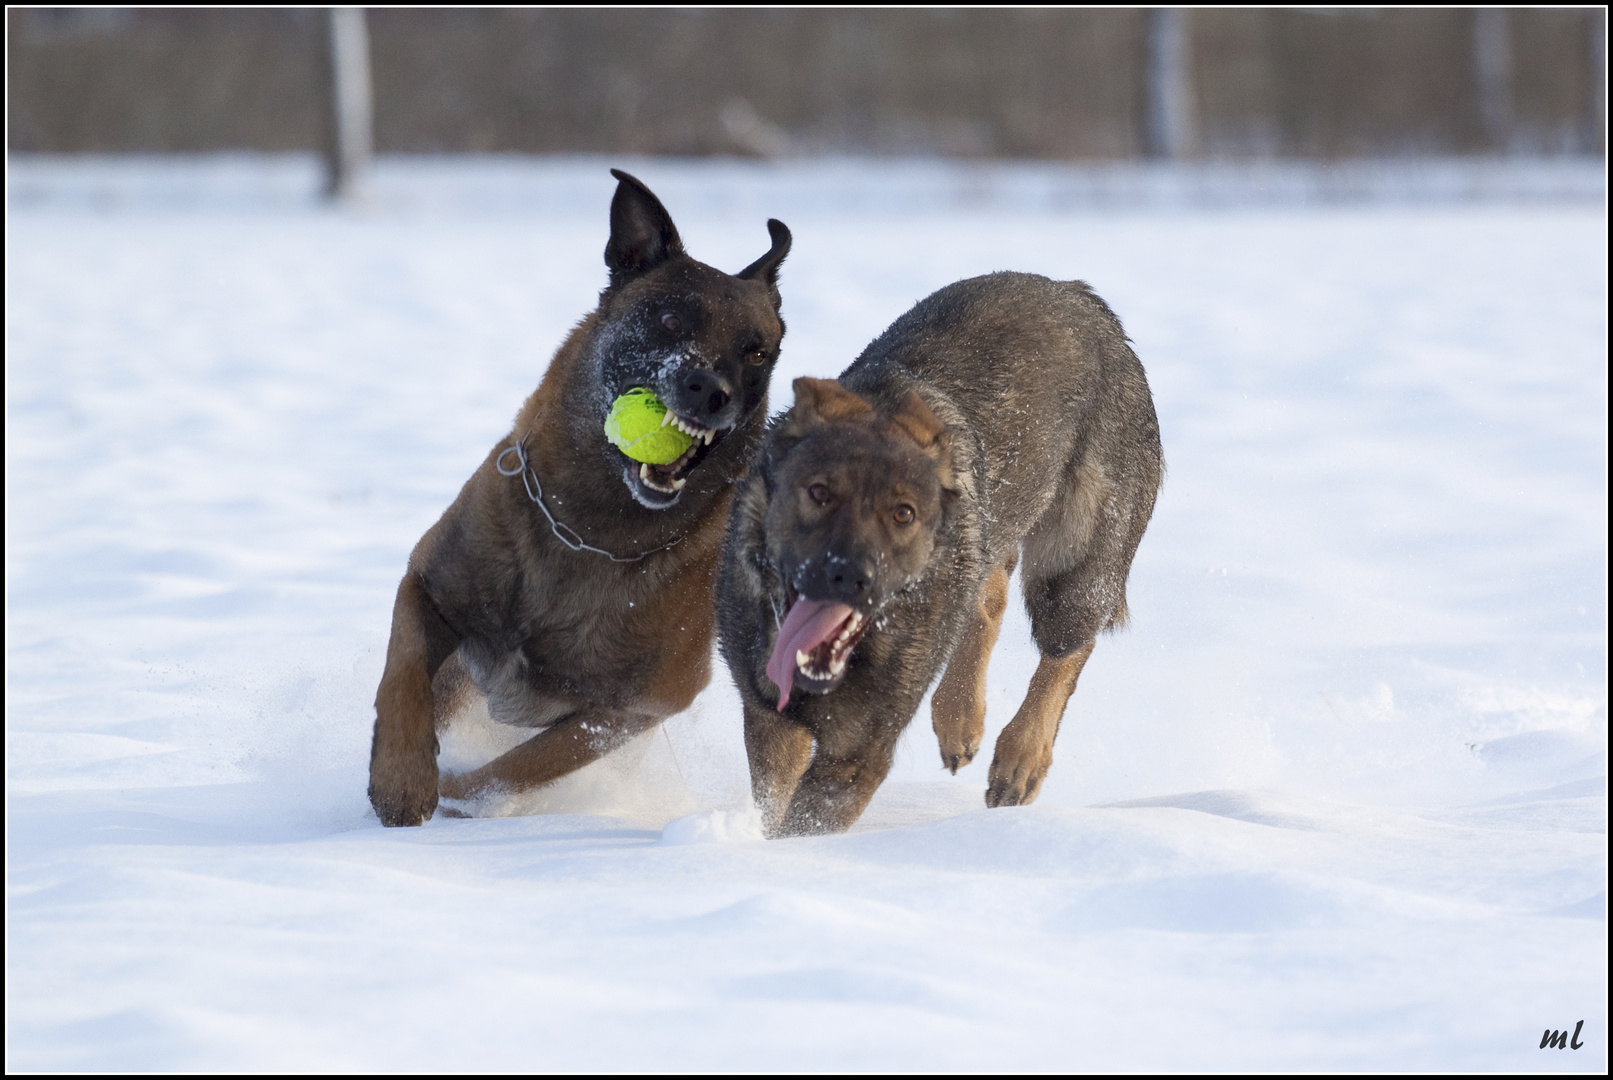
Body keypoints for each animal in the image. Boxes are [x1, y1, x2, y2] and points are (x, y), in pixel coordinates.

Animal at [367, 169, 793, 831]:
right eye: (670, 320)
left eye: (755, 351)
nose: (710, 391)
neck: (590, 531)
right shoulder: (429, 584)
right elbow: (403, 674)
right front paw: (400, 778)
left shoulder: (632, 709)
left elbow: (516, 768)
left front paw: (456, 796)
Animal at [719, 269, 1161, 838]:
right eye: (818, 493)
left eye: (904, 514)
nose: (849, 576)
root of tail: (1079, 294)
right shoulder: (771, 720)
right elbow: (774, 803)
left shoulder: (857, 755)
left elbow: (804, 824)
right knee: (987, 599)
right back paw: (960, 719)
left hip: (1075, 562)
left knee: (1067, 646)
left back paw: (1020, 758)